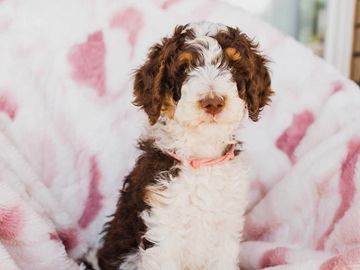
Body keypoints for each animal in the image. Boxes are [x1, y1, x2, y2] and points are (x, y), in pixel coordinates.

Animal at [94, 21, 272, 270]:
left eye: (233, 67)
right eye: (184, 69)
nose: (213, 102)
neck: (201, 158)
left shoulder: (226, 224)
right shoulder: (161, 225)